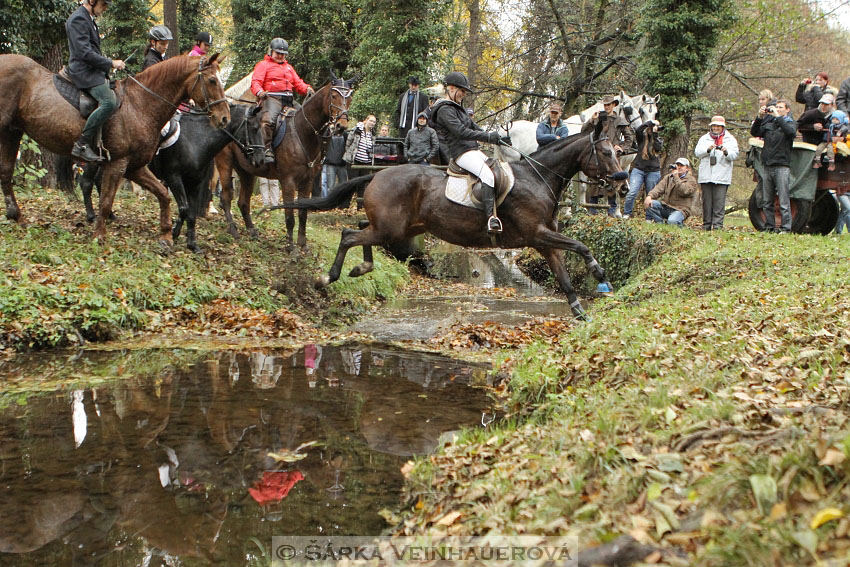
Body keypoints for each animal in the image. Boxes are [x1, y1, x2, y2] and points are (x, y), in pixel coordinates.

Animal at [0, 54, 230, 247]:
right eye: (212, 80)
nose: (224, 118)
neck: (140, 106)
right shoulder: (118, 163)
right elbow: (106, 201)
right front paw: (99, 236)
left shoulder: (134, 167)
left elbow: (163, 194)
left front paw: (165, 236)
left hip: (12, 132)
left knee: (6, 172)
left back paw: (15, 215)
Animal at [217, 73, 356, 248]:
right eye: (334, 95)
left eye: (349, 97)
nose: (341, 125)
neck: (303, 132)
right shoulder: (288, 181)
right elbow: (290, 217)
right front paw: (291, 247)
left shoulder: (307, 181)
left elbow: (303, 213)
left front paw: (303, 245)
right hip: (225, 164)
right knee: (226, 198)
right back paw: (233, 229)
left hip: (246, 171)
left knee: (243, 201)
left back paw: (252, 231)